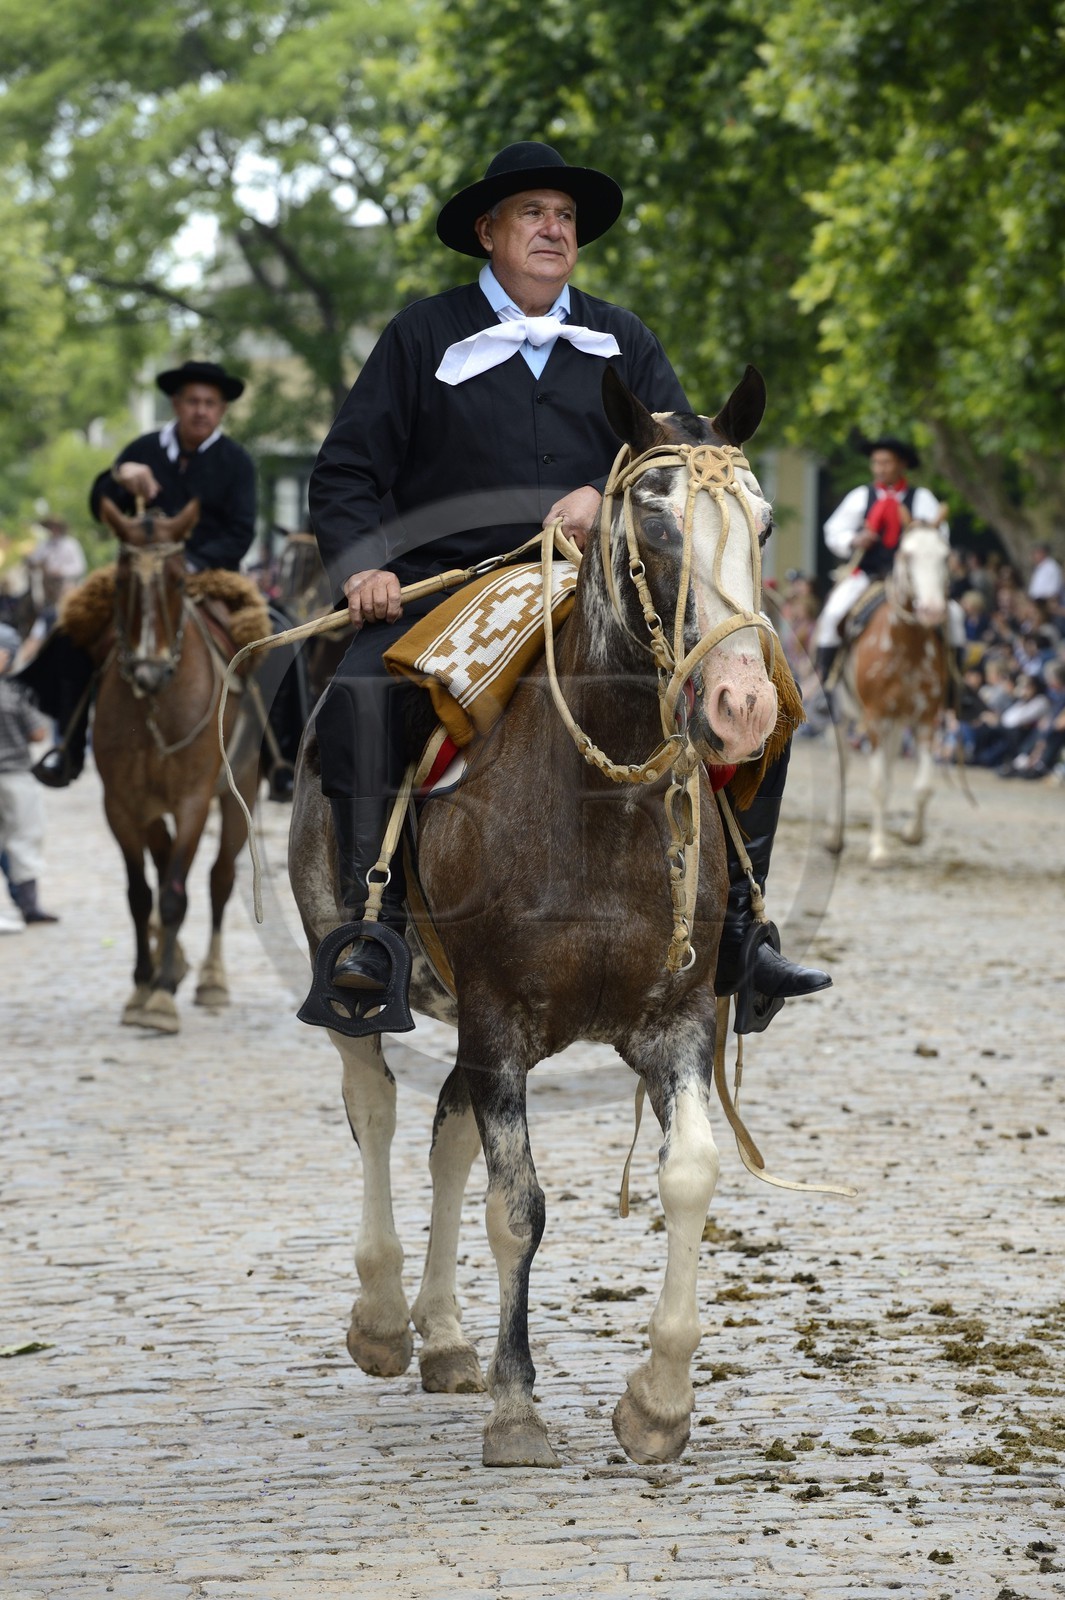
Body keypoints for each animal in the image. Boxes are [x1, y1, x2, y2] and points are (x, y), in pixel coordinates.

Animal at [92, 499, 261, 1033]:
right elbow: (139, 894)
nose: (149, 672)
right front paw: (144, 984)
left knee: (218, 879)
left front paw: (162, 997)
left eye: (179, 581)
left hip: (239, 792)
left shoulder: (192, 803)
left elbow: (174, 894)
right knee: (165, 862)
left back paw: (210, 977)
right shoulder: (123, 806)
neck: (155, 706)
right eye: (121, 581)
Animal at [289, 366, 779, 1468]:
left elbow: (689, 1174)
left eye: (764, 522)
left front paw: (658, 1404)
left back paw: (444, 1336)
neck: (599, 802)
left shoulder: (672, 1021)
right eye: (655, 519)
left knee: (445, 1132)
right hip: (357, 964)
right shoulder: (498, 1016)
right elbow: (519, 1208)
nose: (743, 706)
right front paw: (518, 1408)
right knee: (375, 1103)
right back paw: (383, 1316)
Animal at [828, 520, 950, 866]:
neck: (906, 643)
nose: (932, 610)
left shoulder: (925, 718)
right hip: (842, 715)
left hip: (897, 723)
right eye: (907, 555)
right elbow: (878, 785)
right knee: (841, 766)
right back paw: (835, 835)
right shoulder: (875, 717)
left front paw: (912, 833)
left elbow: (923, 786)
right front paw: (880, 847)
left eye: (944, 555)